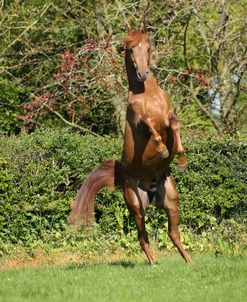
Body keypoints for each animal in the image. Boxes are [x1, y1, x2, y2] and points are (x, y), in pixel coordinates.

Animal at [68, 27, 193, 266]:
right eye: (130, 49)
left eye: (148, 47)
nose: (142, 74)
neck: (147, 94)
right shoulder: (142, 123)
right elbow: (152, 129)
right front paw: (163, 149)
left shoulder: (169, 115)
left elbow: (175, 125)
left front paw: (181, 159)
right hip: (137, 207)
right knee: (143, 237)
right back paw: (153, 264)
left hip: (171, 201)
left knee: (173, 233)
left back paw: (190, 263)